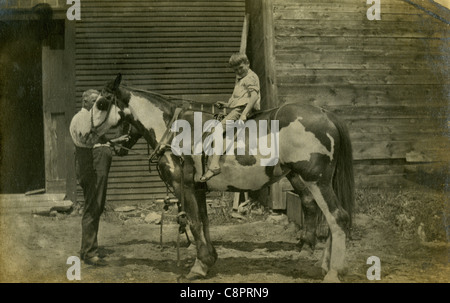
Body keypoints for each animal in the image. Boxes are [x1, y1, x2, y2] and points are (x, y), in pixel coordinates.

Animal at [99, 73, 356, 282]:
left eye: (101, 103)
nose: (113, 145)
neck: (177, 131)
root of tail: (325, 114)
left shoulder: (185, 187)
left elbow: (193, 222)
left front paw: (199, 266)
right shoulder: (199, 189)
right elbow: (204, 222)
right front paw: (209, 260)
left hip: (316, 181)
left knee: (337, 217)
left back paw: (332, 271)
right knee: (326, 214)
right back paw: (324, 264)